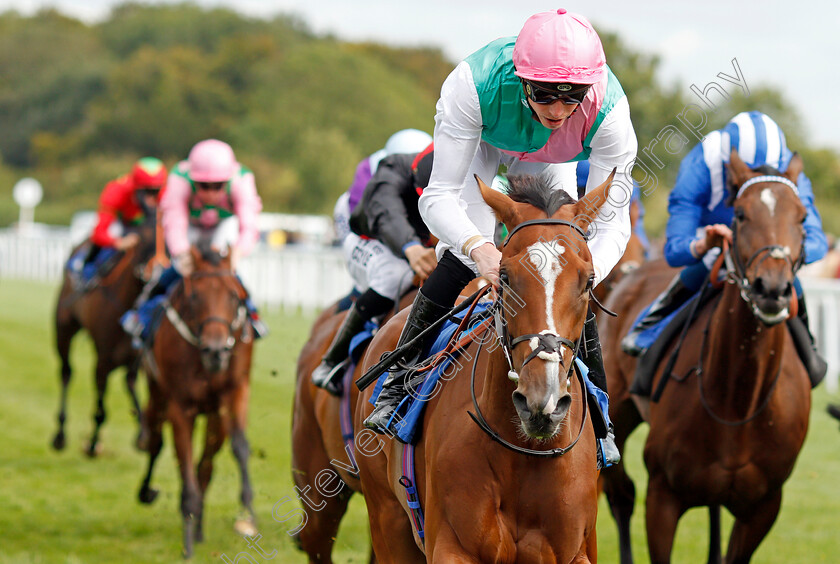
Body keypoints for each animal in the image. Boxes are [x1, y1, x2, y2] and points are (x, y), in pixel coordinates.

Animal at [52, 214, 159, 456]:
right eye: (141, 239)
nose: (152, 272)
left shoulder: (137, 357)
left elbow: (132, 384)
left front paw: (143, 435)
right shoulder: (103, 358)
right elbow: (101, 407)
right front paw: (92, 444)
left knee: (128, 381)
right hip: (64, 329)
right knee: (66, 372)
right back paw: (60, 433)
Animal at [135, 247, 256, 560]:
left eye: (234, 296)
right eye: (194, 297)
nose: (216, 351)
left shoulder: (235, 392)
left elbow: (240, 447)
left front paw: (248, 514)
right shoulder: (180, 406)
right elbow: (183, 463)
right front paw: (187, 544)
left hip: (214, 416)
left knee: (206, 465)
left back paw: (200, 525)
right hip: (157, 394)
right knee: (156, 442)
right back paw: (147, 491)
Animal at [356, 173, 616, 564]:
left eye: (588, 281)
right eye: (505, 276)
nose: (542, 401)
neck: (525, 454)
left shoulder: (576, 552)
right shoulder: (453, 547)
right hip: (388, 520)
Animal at [600, 151, 812, 564]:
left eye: (802, 217)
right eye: (741, 214)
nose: (771, 289)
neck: (738, 403)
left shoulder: (763, 507)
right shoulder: (663, 496)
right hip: (615, 410)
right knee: (620, 495)